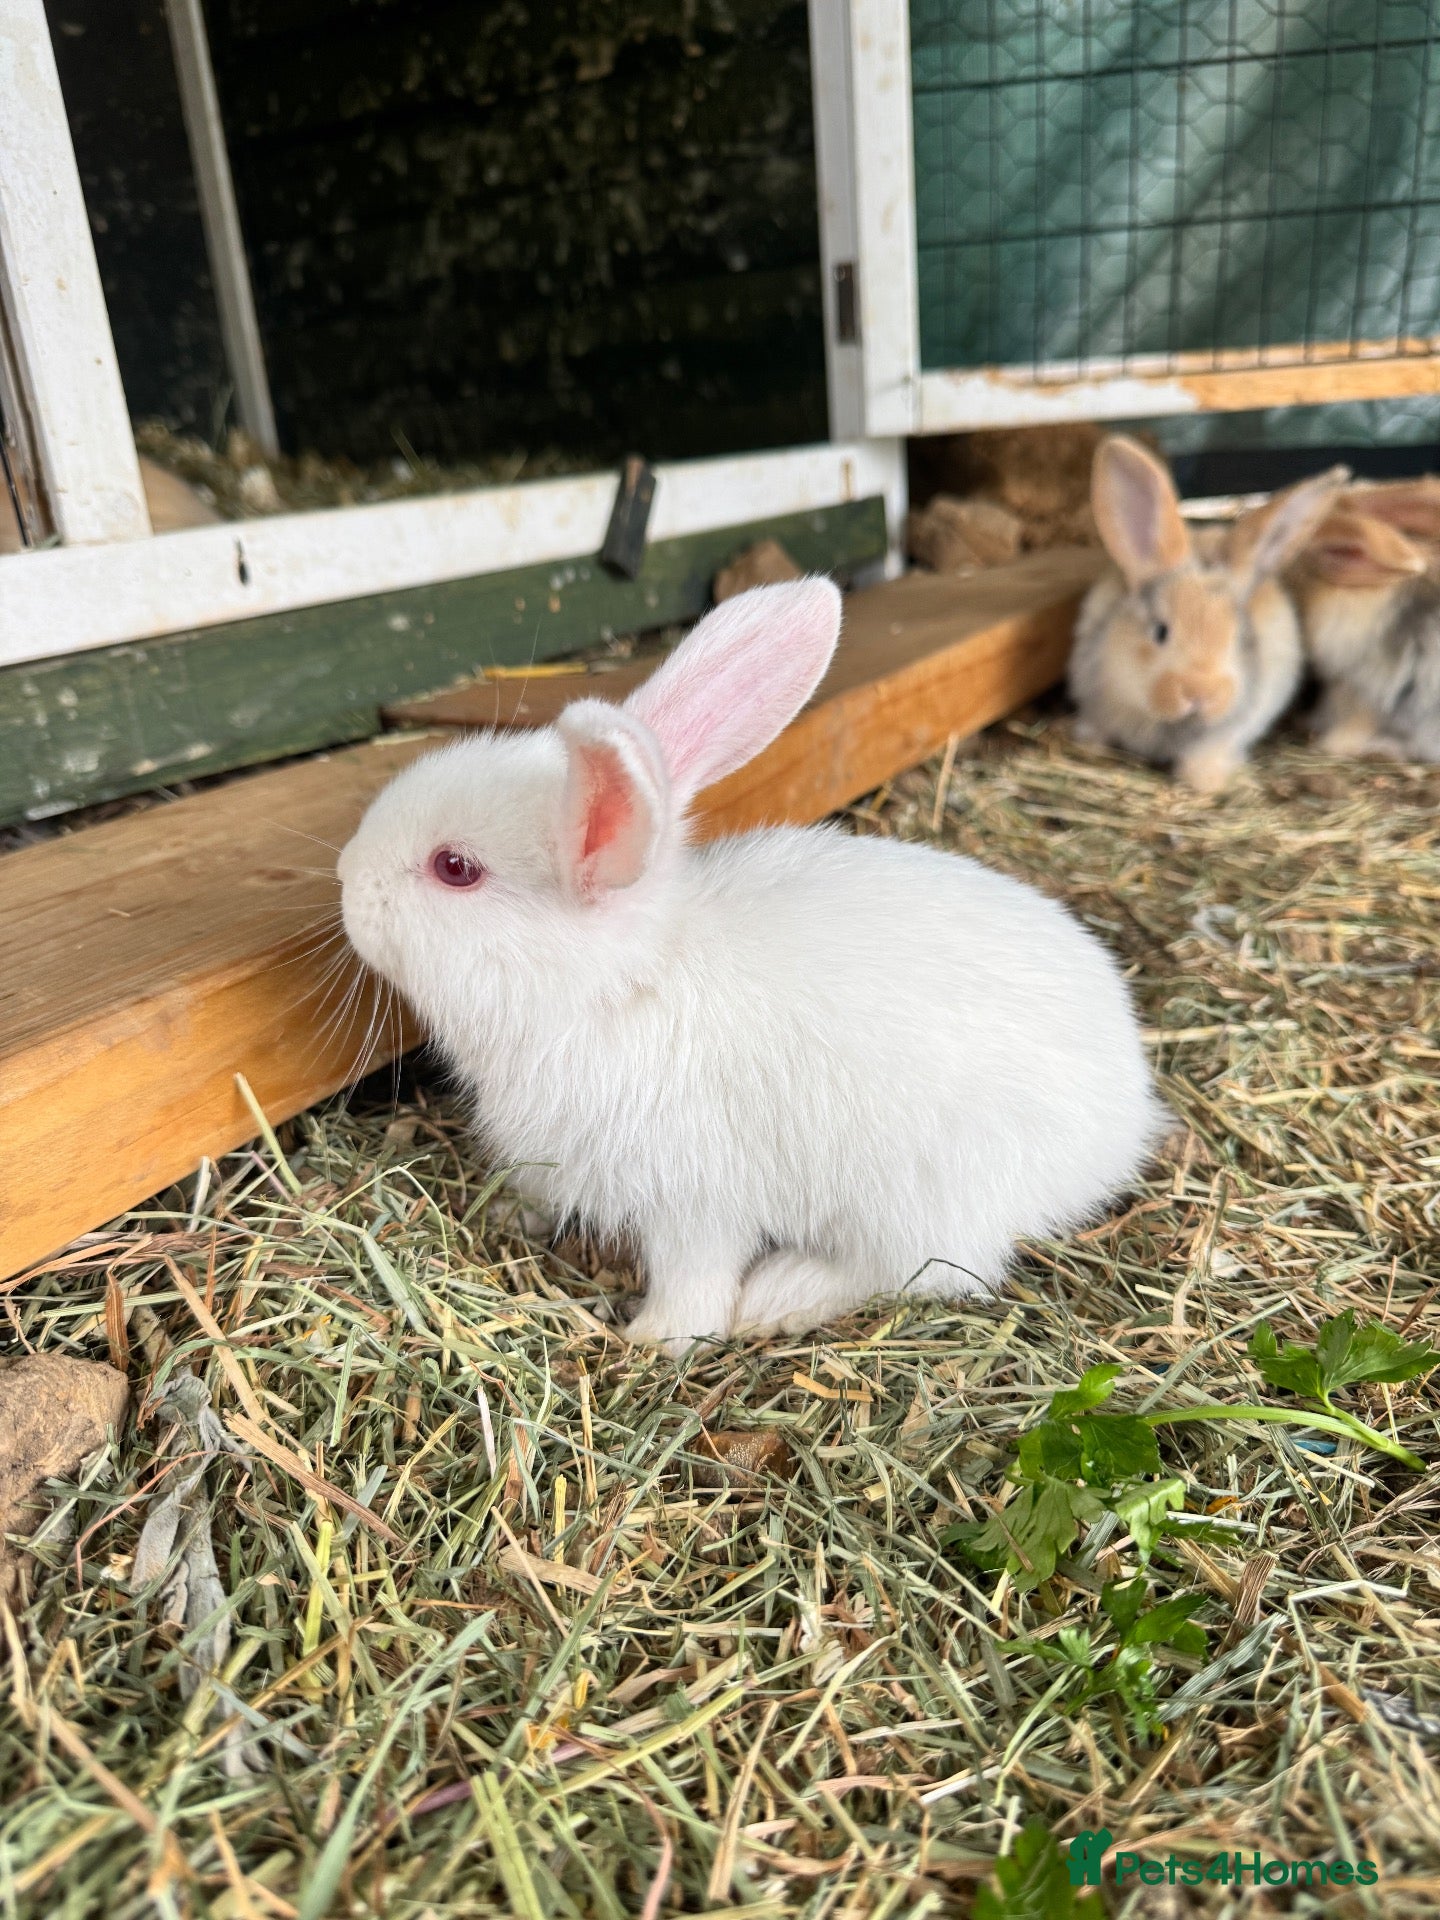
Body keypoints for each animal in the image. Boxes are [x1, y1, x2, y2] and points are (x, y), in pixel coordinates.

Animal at [338, 580, 1167, 1353]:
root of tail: (1126, 1119)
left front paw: (653, 1340)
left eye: (455, 869)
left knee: (926, 1269)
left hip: (920, 1197)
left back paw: (779, 1295)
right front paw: (515, 1215)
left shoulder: (693, 1200)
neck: (620, 987)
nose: (346, 877)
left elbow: (695, 1281)